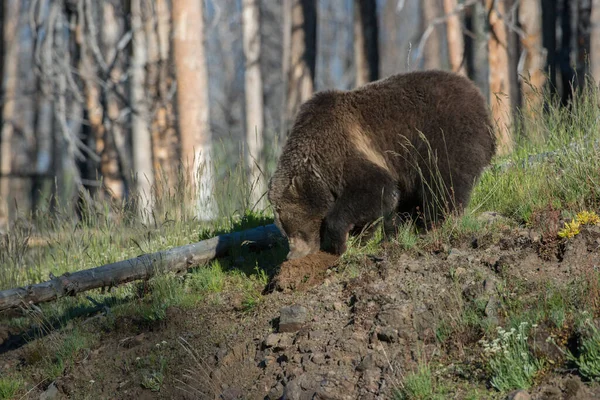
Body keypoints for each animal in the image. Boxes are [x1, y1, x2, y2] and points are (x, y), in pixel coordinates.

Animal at [270, 70, 494, 260]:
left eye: (294, 229)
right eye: (284, 230)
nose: (292, 255)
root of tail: (478, 95)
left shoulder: (344, 151)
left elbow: (377, 188)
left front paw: (339, 242)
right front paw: (361, 235)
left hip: (443, 136)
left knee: (443, 182)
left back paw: (434, 223)